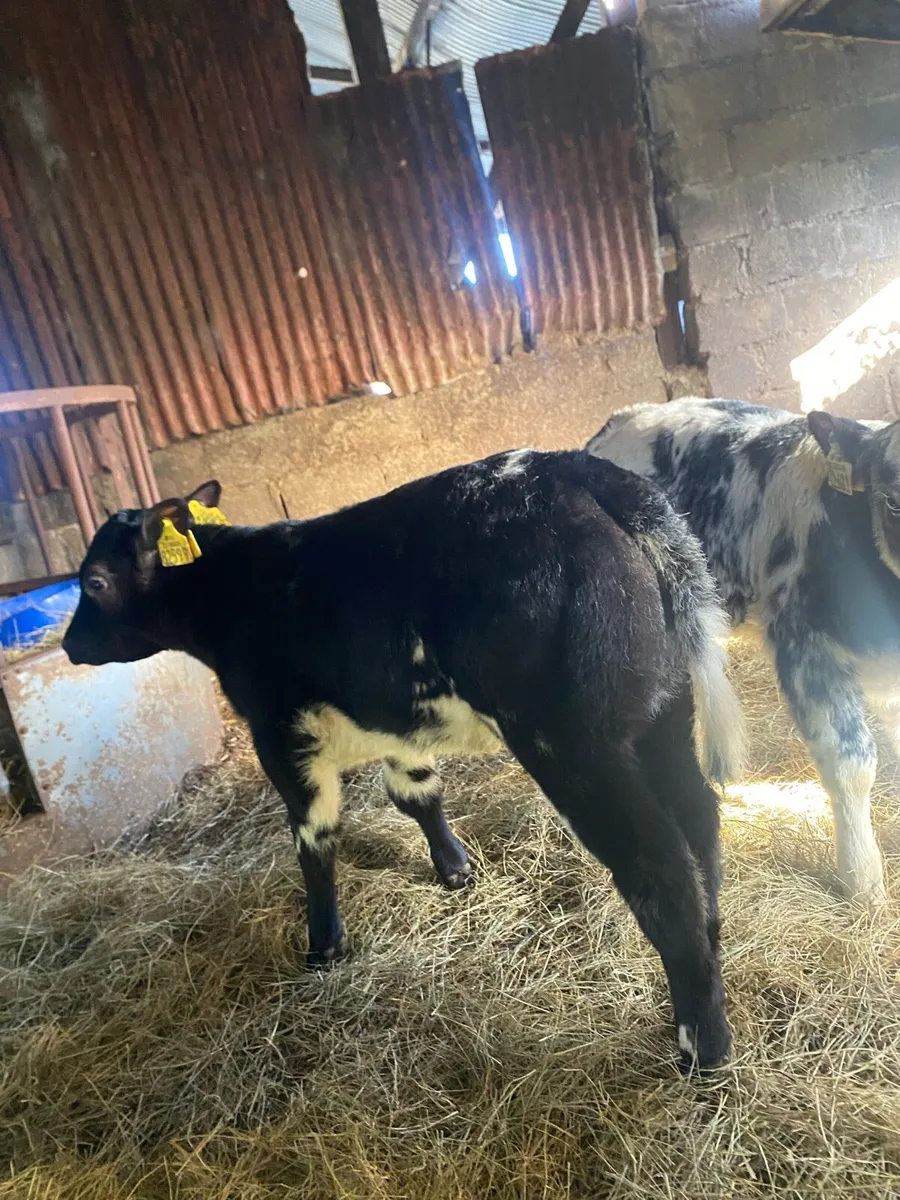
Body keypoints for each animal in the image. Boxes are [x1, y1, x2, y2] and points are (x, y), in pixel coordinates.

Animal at [62, 449, 744, 1069]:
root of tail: (578, 469)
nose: (68, 646)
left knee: (658, 862)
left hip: (571, 737)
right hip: (659, 713)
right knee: (700, 821)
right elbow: (415, 794)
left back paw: (701, 1045)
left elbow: (313, 838)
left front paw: (324, 946)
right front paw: (455, 871)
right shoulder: (397, 724)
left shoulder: (280, 731)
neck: (239, 590)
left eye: (93, 581)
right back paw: (709, 969)